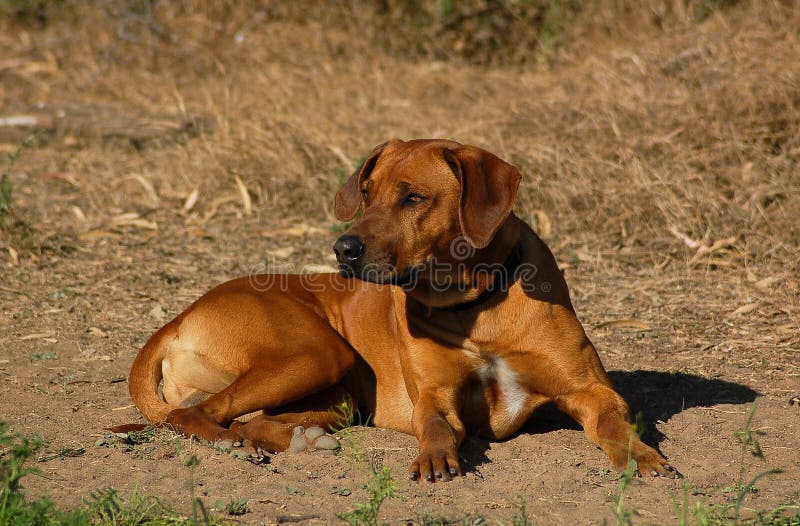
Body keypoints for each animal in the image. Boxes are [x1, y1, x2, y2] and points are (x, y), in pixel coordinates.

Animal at [128, 139, 680, 482]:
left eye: (413, 197)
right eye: (366, 193)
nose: (342, 249)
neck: (476, 306)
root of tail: (177, 318)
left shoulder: (592, 391)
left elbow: (615, 424)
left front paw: (640, 456)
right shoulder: (434, 395)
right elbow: (433, 424)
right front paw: (434, 457)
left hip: (335, 390)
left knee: (251, 422)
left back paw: (301, 441)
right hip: (317, 355)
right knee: (193, 413)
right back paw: (230, 441)